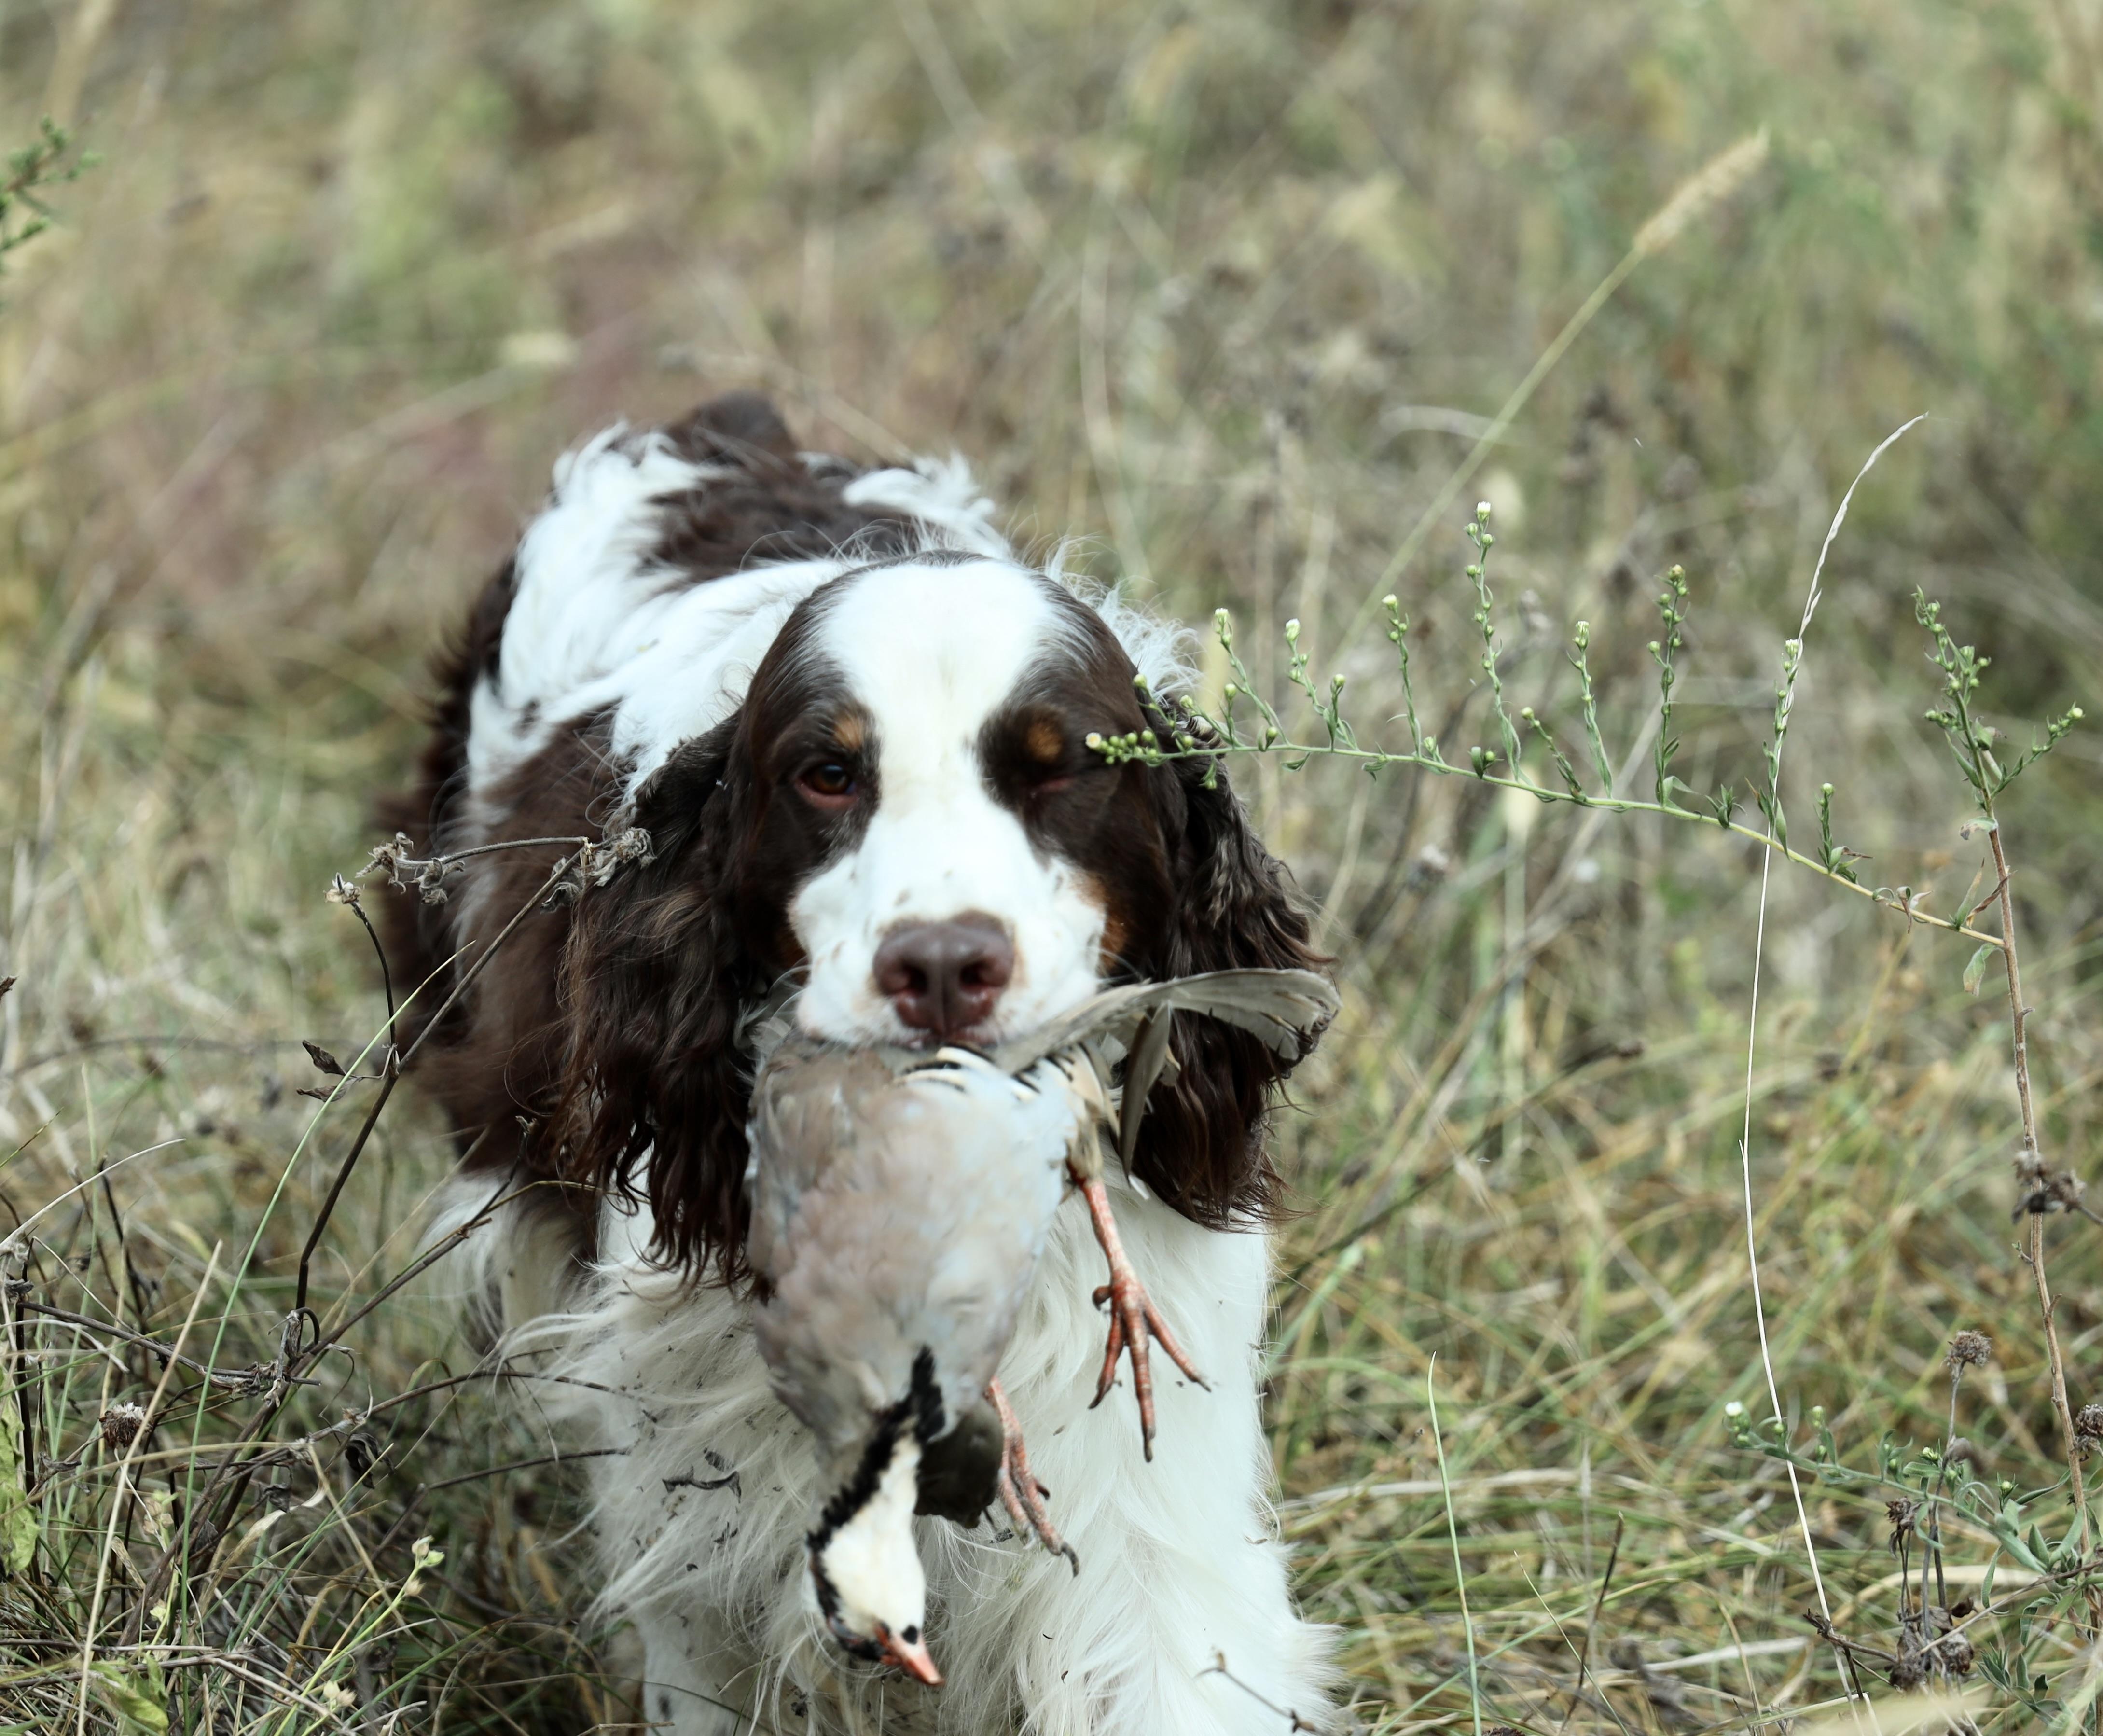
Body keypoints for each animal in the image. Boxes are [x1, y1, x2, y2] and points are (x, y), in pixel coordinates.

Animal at [383, 392, 1339, 1734]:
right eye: (827, 775)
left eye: (1058, 770)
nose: (941, 966)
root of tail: (727, 425)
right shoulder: (709, 1542)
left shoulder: (1147, 1529)